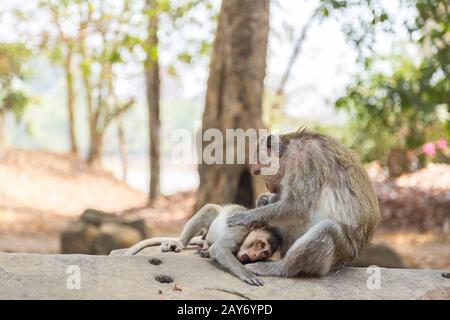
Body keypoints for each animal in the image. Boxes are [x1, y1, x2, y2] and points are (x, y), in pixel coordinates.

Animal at [123, 204, 278, 286]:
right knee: (209, 209)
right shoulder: (240, 230)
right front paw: (246, 273)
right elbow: (219, 248)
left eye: (264, 254)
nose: (254, 255)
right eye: (260, 245)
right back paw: (182, 242)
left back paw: (204, 245)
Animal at [227, 127, 378, 278]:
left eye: (259, 170)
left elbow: (298, 207)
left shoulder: (304, 158)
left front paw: (247, 217)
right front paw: (264, 200)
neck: (289, 148)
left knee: (326, 230)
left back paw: (280, 267)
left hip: (343, 251)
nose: (268, 186)